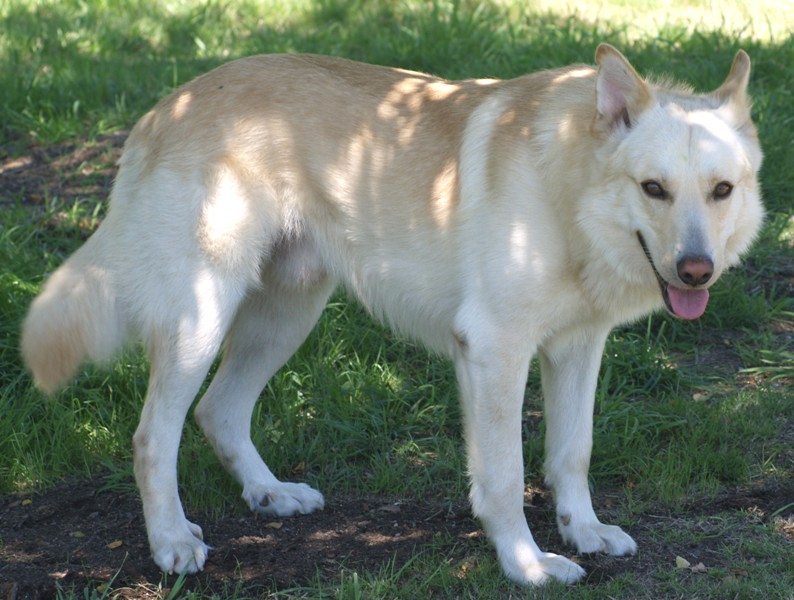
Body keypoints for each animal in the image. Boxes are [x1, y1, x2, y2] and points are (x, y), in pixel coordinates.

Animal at [22, 44, 763, 585]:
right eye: (653, 189)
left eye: (721, 190)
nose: (696, 270)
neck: (567, 190)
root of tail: (166, 106)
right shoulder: (494, 353)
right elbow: (504, 477)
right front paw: (527, 565)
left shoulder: (578, 348)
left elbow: (571, 454)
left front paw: (584, 531)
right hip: (202, 321)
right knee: (155, 437)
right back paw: (171, 541)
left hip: (286, 317)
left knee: (219, 412)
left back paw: (270, 495)